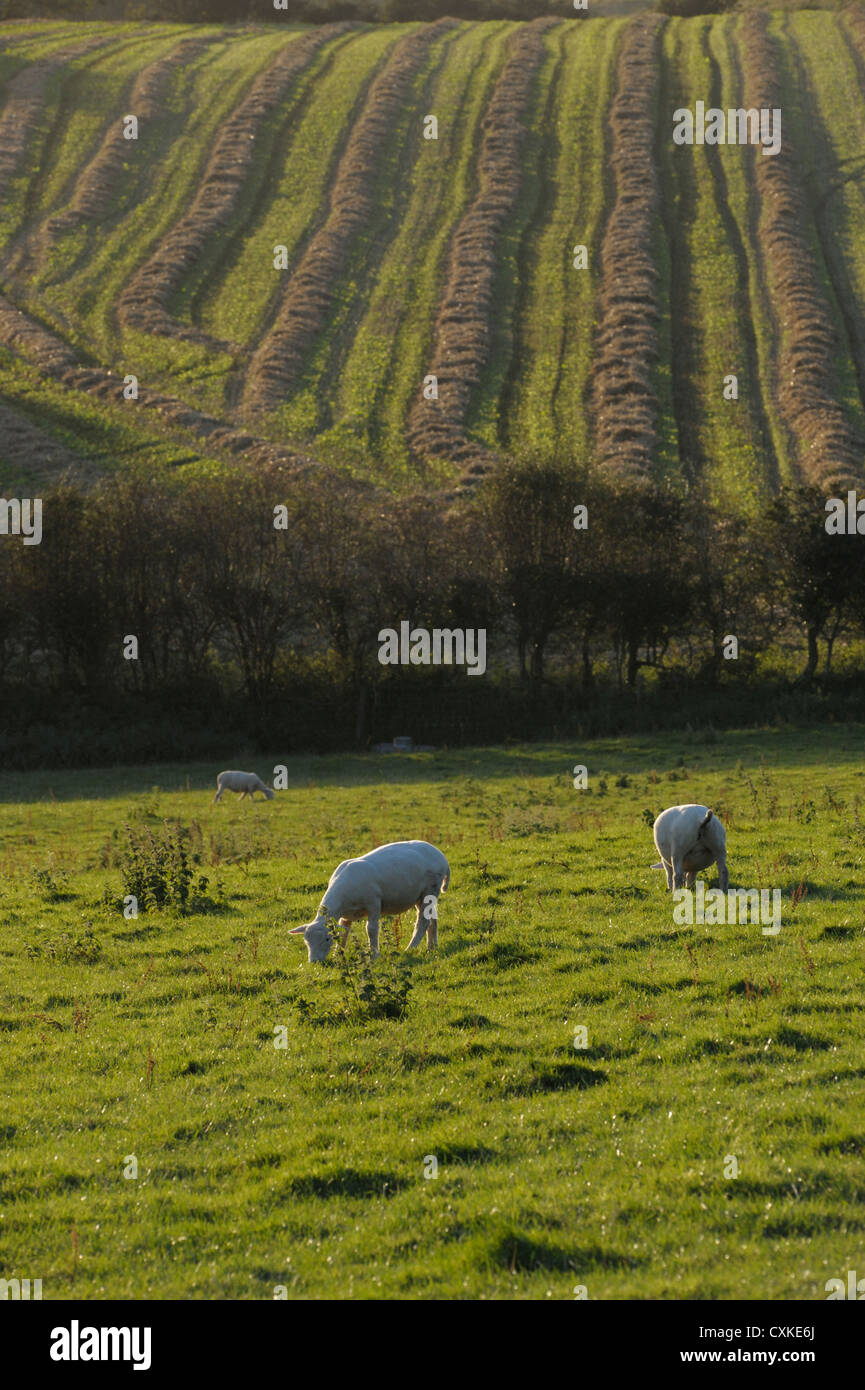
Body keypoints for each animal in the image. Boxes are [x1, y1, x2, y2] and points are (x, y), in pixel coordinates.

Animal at [292, 839, 453, 961]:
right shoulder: (346, 915)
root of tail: (442, 857)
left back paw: (410, 948)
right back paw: (432, 947)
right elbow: (344, 932)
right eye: (306, 941)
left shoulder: (374, 903)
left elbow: (371, 930)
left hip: (430, 889)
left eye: (326, 939)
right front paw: (338, 955)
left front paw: (375, 955)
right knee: (432, 919)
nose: (314, 962)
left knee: (423, 922)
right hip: (423, 896)